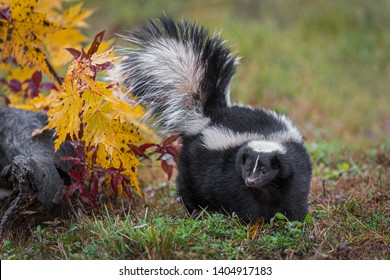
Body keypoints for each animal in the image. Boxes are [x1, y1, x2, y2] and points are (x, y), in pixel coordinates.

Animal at [109, 17, 310, 222]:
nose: (251, 180)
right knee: (188, 184)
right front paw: (254, 220)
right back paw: (195, 209)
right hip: (193, 159)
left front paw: (293, 218)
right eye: (247, 169)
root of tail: (210, 114)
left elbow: (294, 194)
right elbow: (242, 198)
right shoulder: (230, 171)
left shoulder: (293, 167)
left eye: (264, 170)